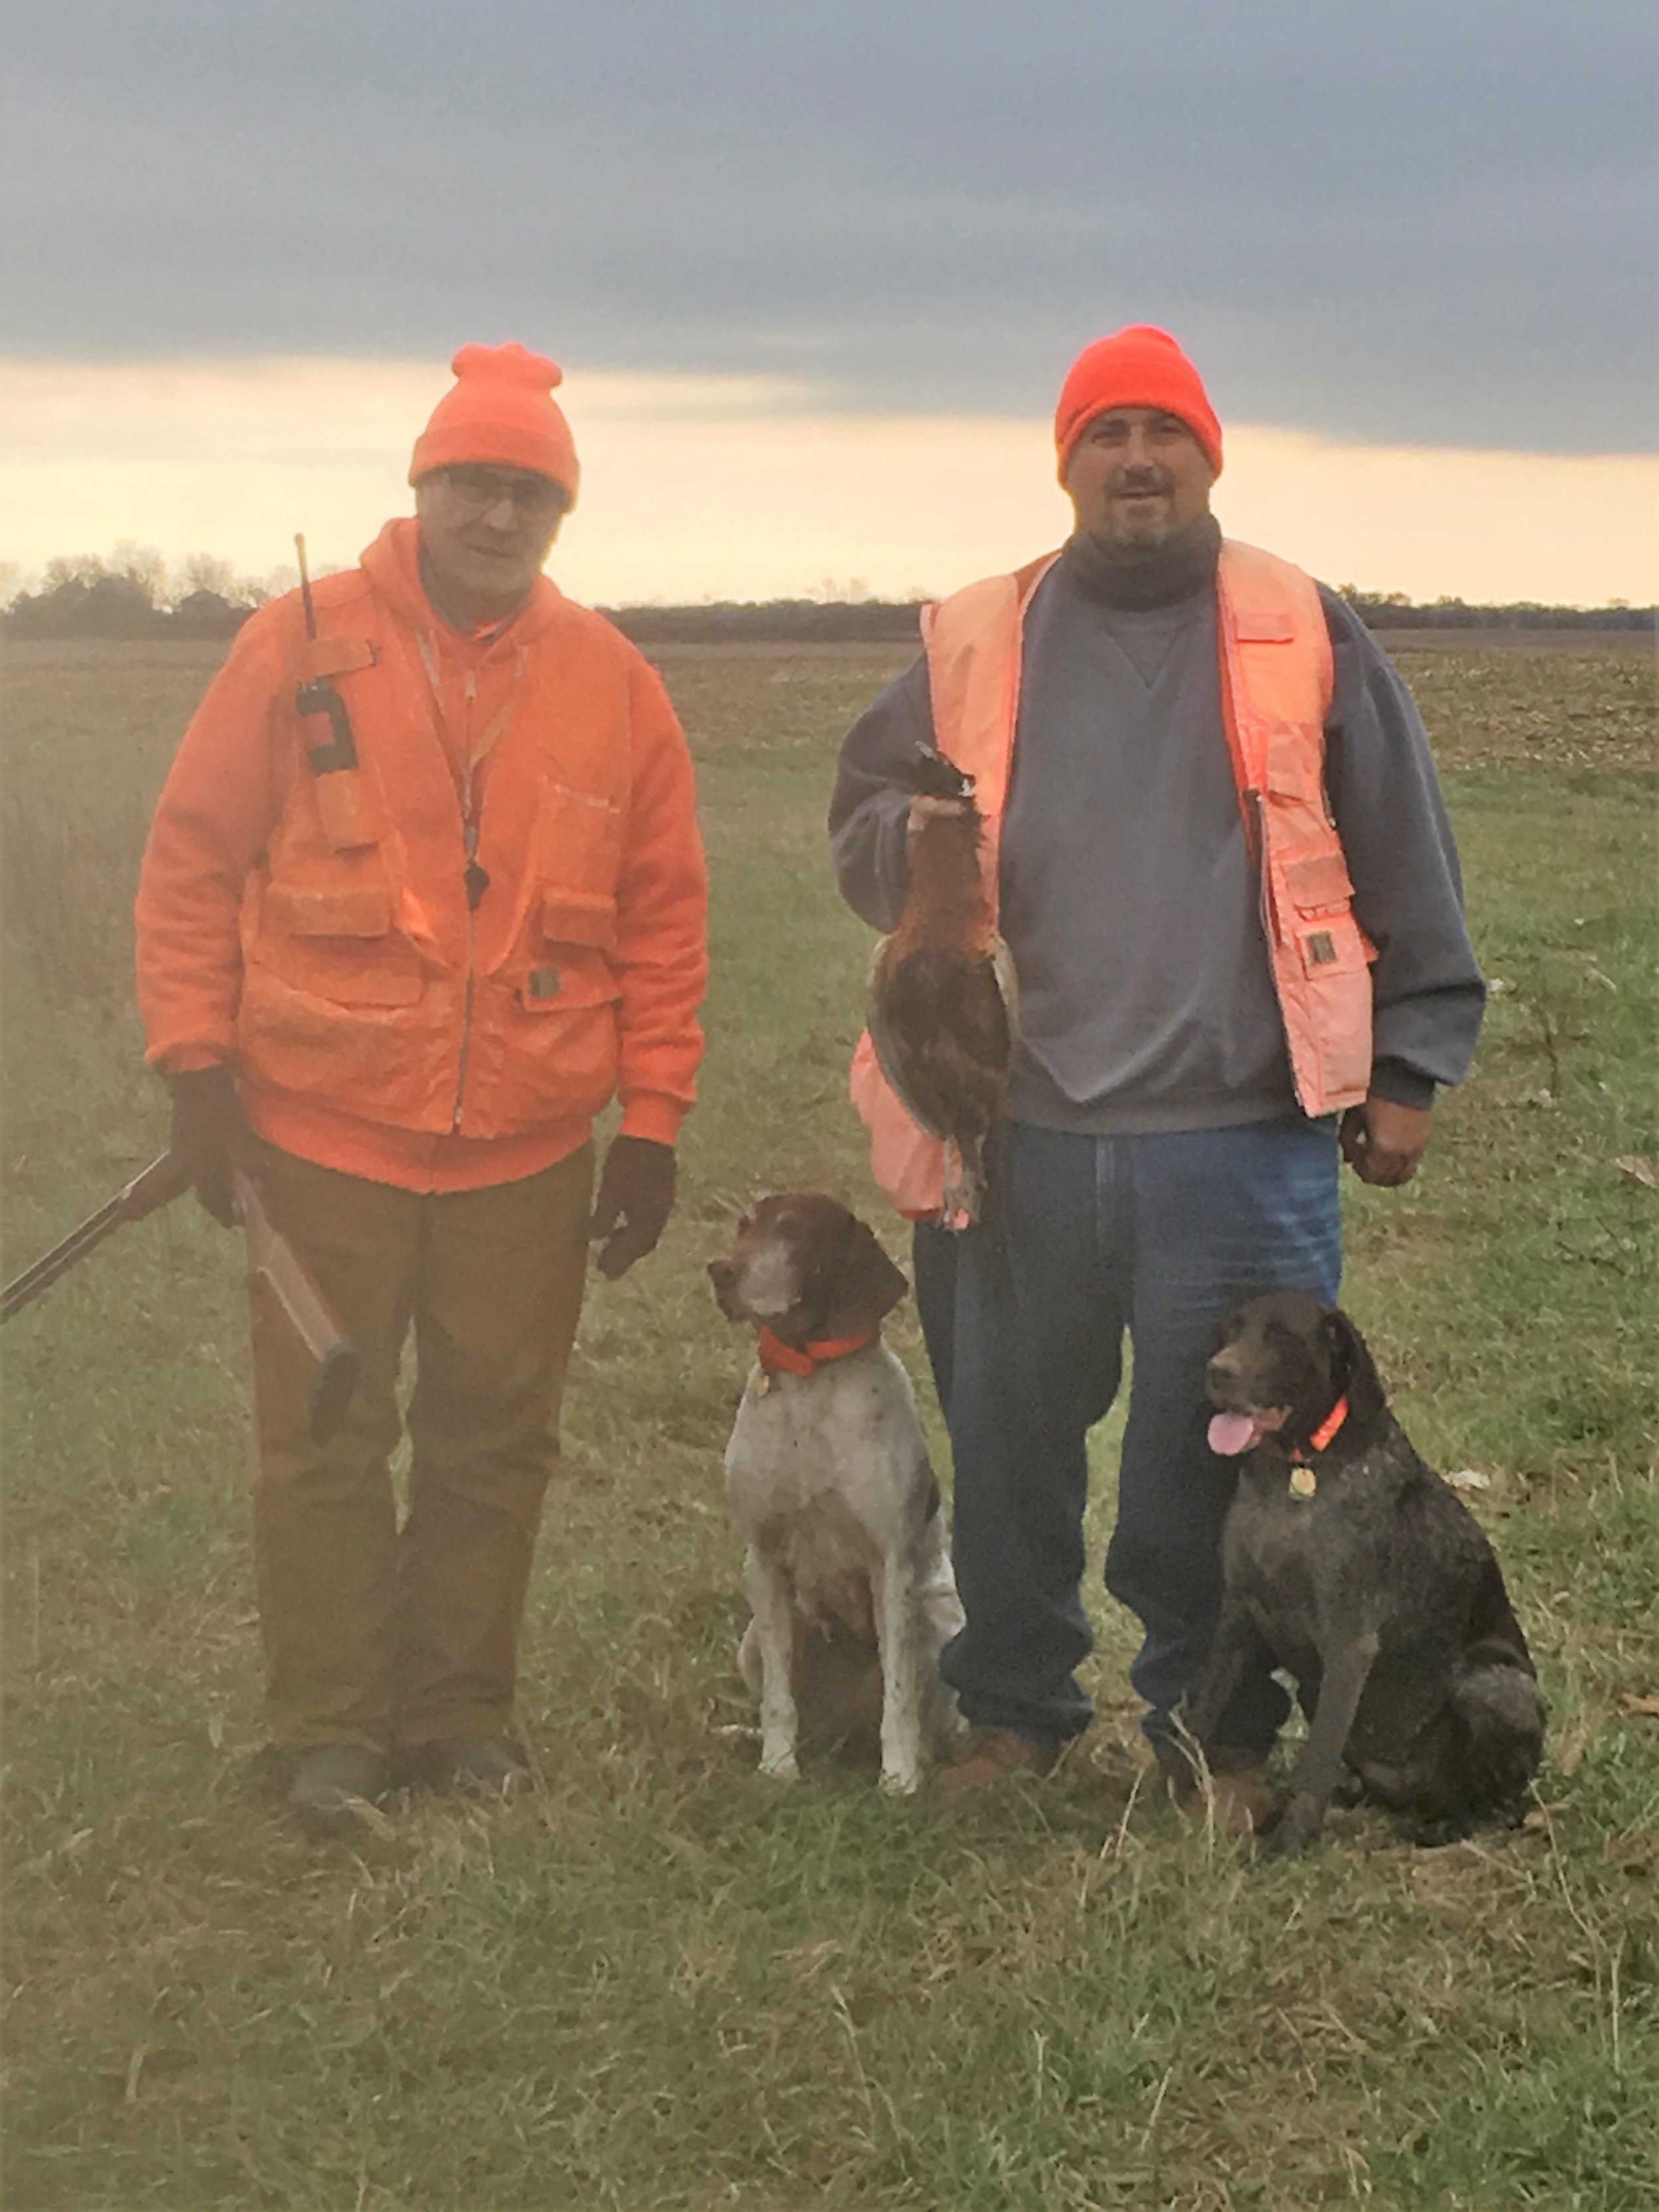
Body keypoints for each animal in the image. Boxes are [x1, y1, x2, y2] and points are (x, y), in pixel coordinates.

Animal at [703, 1194, 960, 1796]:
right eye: (744, 1227)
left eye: (795, 1231)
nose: (720, 1271)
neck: (809, 1379)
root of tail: (846, 1734)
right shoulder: (765, 1559)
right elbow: (779, 1700)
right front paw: (777, 1765)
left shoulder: (890, 1565)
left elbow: (900, 1700)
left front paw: (900, 1777)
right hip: (751, 1640)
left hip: (939, 1624)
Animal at [1185, 1291, 1548, 1858]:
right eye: (1231, 1329)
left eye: (1281, 1335)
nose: (1216, 1371)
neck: (1295, 1473)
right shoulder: (1238, 1614)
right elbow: (1204, 1709)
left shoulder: (1348, 1645)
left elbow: (1316, 1760)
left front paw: (1290, 1843)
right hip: (1314, 1691)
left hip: (1492, 1686)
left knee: (1509, 1804)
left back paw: (1453, 1824)